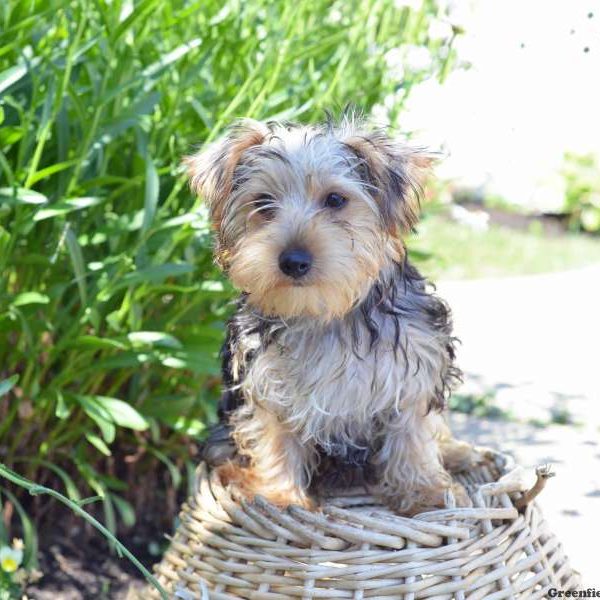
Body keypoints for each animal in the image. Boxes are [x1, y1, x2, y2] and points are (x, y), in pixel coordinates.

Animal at [186, 112, 478, 516]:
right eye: (262, 203)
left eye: (336, 200)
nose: (293, 260)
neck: (326, 314)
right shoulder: (264, 381)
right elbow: (274, 435)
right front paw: (279, 496)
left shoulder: (414, 369)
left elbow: (412, 433)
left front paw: (424, 491)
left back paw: (459, 452)